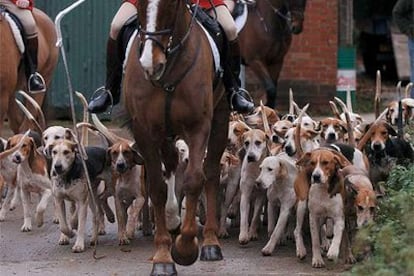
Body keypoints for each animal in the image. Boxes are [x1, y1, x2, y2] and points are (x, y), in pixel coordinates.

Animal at [124, 1, 230, 274]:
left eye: (171, 5)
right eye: (140, 4)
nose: (150, 63)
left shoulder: (198, 126)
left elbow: (194, 180)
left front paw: (185, 247)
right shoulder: (145, 131)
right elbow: (157, 188)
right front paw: (163, 255)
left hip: (220, 120)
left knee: (211, 172)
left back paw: (210, 242)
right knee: (170, 166)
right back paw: (172, 219)